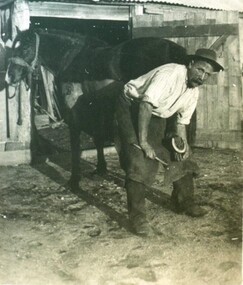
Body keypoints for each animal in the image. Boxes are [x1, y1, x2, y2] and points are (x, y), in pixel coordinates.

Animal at [4, 28, 187, 189]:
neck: (72, 60)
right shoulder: (97, 109)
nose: (9, 76)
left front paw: (74, 181)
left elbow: (76, 145)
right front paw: (100, 168)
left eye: (25, 47)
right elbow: (98, 138)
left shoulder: (75, 114)